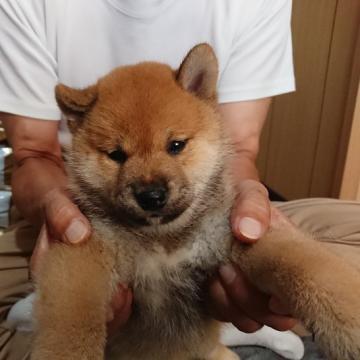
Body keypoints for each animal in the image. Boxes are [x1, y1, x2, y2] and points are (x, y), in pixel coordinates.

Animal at [31, 43, 360, 358]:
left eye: (176, 145)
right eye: (116, 155)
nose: (151, 196)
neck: (162, 241)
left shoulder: (236, 235)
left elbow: (311, 270)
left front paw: (349, 321)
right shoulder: (84, 254)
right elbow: (71, 324)